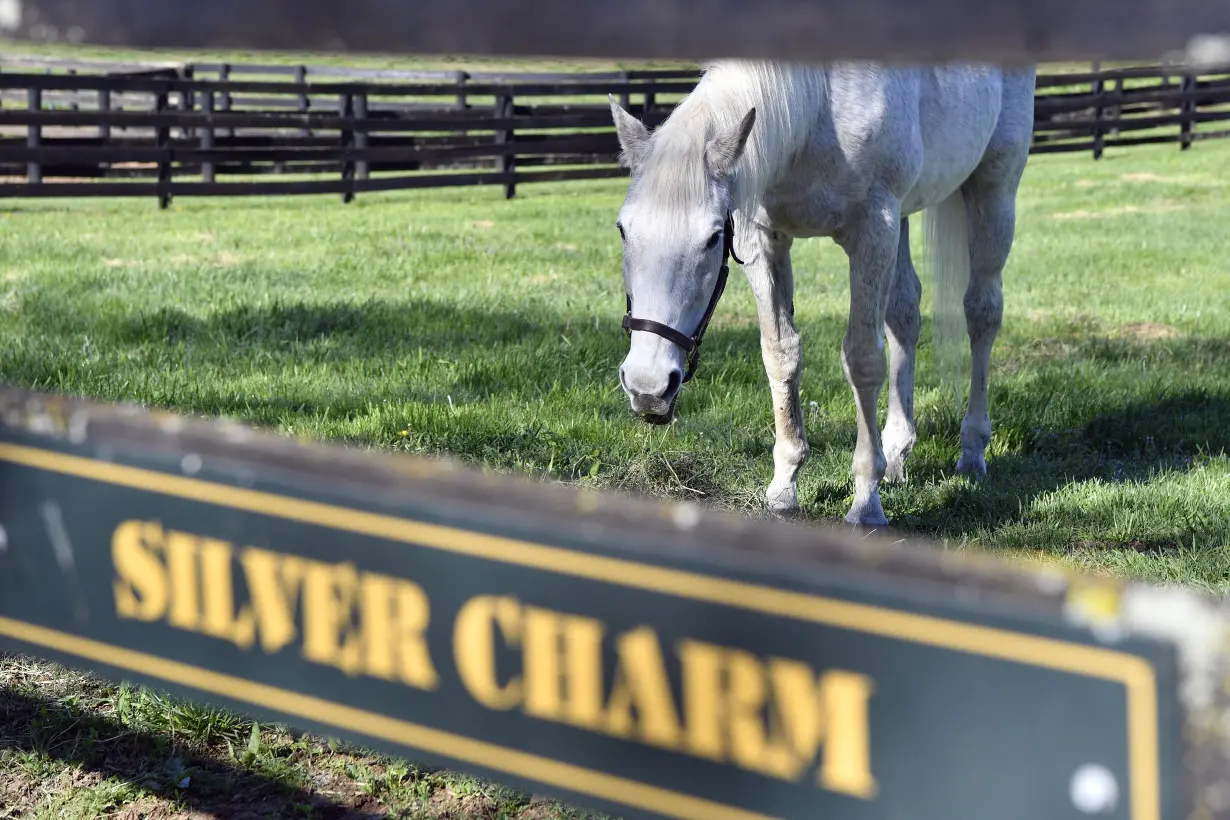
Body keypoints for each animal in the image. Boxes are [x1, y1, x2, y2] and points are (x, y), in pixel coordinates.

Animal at [610, 62, 1033, 526]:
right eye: (623, 229)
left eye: (713, 237)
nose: (648, 387)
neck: (819, 111)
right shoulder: (765, 241)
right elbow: (781, 355)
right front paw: (784, 486)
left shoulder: (872, 231)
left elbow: (863, 360)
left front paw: (866, 502)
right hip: (904, 217)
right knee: (905, 315)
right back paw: (897, 454)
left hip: (993, 190)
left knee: (982, 314)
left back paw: (972, 452)